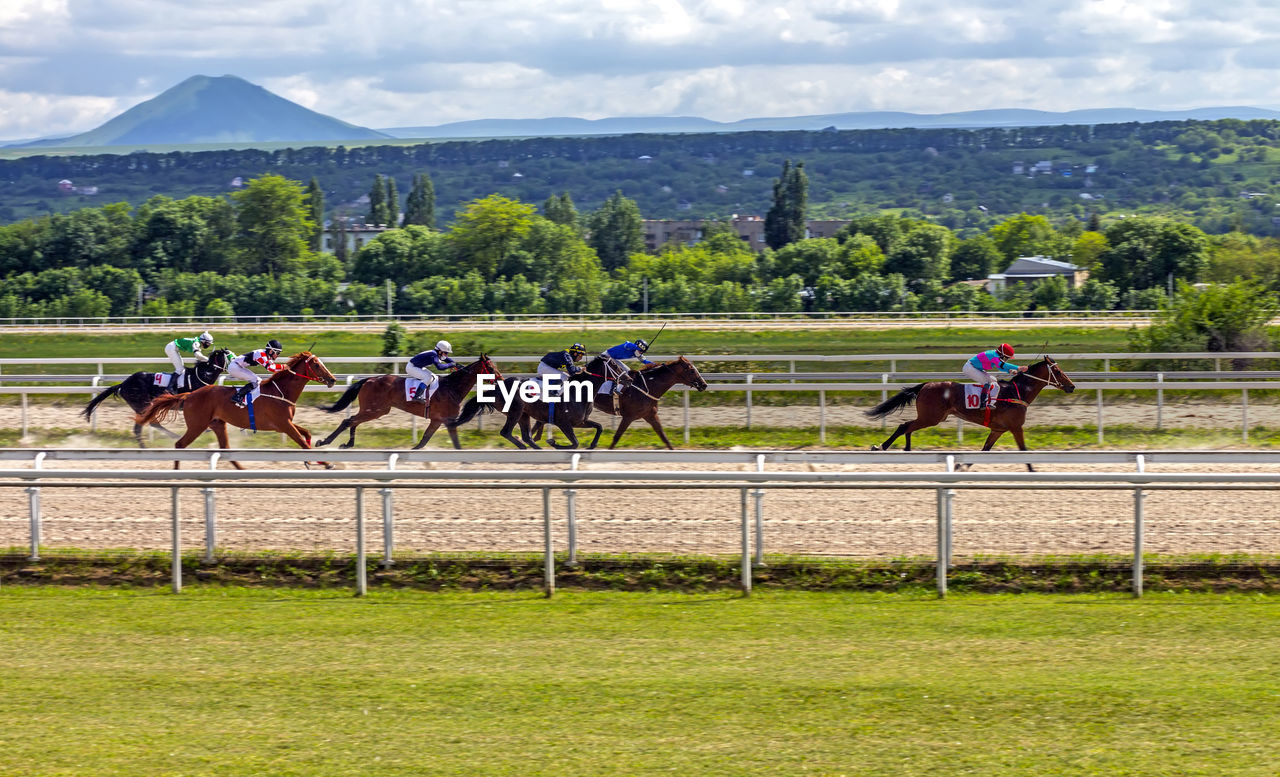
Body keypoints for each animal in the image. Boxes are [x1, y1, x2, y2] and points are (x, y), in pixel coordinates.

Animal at [82, 350, 235, 448]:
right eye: (231, 356)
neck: (201, 376)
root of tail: (123, 384)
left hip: (142, 407)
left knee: (141, 427)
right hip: (143, 404)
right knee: (150, 424)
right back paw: (168, 438)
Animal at [133, 350, 337, 468]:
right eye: (316, 364)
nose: (333, 379)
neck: (281, 391)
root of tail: (189, 395)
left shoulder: (286, 424)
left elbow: (307, 434)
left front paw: (314, 460)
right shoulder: (284, 424)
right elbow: (303, 443)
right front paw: (326, 462)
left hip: (218, 424)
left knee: (225, 449)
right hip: (197, 425)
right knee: (179, 445)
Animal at [312, 355, 501, 453]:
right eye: (491, 368)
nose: (500, 379)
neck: (452, 387)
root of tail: (369, 379)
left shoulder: (439, 420)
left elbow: (426, 440)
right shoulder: (445, 420)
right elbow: (445, 442)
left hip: (375, 410)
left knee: (353, 421)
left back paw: (348, 444)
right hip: (375, 409)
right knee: (349, 421)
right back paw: (324, 442)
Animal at [529, 353, 711, 448]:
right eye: (691, 369)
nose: (704, 384)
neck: (647, 386)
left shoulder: (650, 415)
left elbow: (664, 437)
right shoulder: (629, 416)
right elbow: (616, 437)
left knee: (540, 420)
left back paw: (536, 436)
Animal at [865, 355, 1075, 471]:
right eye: (1057, 371)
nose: (1072, 386)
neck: (1017, 392)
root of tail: (925, 385)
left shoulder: (998, 430)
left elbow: (985, 450)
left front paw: (961, 465)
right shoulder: (1016, 427)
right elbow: (1024, 451)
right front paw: (1033, 472)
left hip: (931, 417)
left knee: (908, 426)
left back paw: (906, 449)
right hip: (931, 417)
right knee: (904, 426)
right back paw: (881, 446)